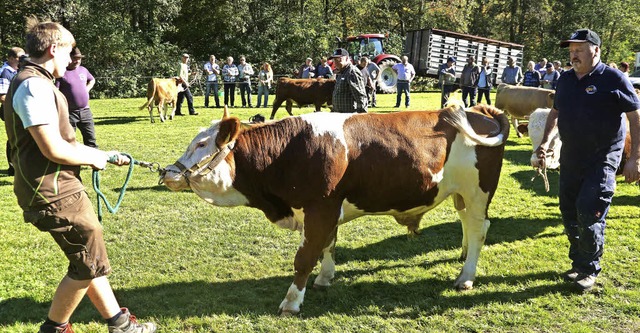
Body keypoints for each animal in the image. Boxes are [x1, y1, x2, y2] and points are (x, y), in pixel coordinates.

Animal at [161, 103, 510, 314]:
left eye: (201, 145)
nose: (167, 172)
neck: (289, 152)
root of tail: (480, 109)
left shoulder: (321, 207)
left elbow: (304, 257)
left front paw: (292, 302)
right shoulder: (326, 211)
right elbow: (328, 244)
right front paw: (325, 277)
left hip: (478, 193)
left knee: (479, 229)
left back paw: (465, 277)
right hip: (460, 194)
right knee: (466, 224)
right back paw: (462, 255)